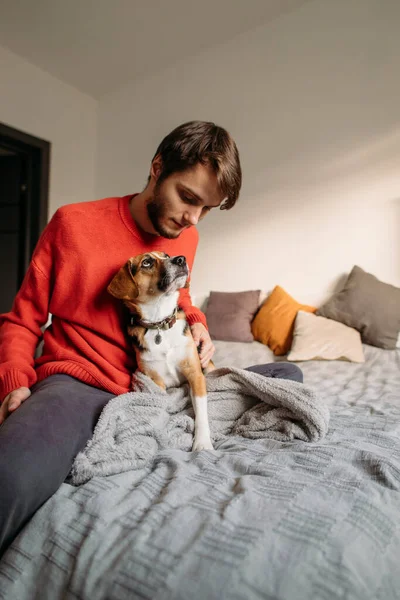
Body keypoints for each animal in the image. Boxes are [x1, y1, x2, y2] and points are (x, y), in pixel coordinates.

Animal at [108, 251, 216, 452]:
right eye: (147, 262)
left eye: (166, 255)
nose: (181, 259)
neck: (160, 323)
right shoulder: (156, 382)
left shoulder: (195, 374)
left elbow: (201, 414)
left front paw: (202, 443)